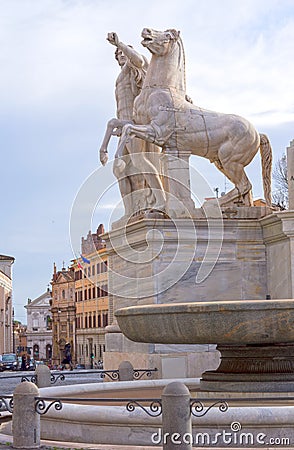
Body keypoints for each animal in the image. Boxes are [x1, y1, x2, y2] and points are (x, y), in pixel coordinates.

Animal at [116, 26, 272, 206]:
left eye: (167, 35)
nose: (146, 30)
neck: (159, 89)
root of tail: (258, 134)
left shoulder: (157, 133)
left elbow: (127, 129)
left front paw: (117, 160)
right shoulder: (142, 124)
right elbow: (117, 124)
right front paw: (105, 154)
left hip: (230, 161)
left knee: (244, 185)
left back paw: (210, 205)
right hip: (220, 161)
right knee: (245, 189)